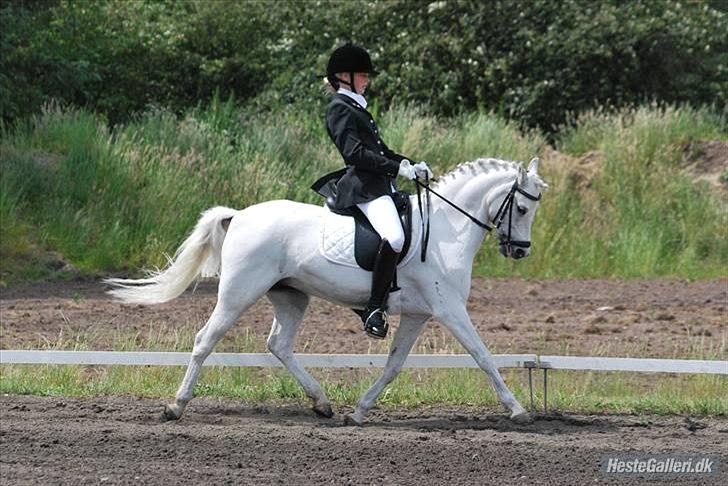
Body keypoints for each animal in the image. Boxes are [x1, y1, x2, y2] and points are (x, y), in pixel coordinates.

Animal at [105, 156, 548, 425]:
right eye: (522, 208)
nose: (521, 250)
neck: (444, 231)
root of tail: (240, 214)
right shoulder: (449, 309)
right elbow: (483, 355)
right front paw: (517, 410)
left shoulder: (419, 314)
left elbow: (394, 365)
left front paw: (360, 411)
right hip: (238, 293)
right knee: (205, 340)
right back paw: (175, 406)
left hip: (290, 295)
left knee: (279, 345)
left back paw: (322, 403)